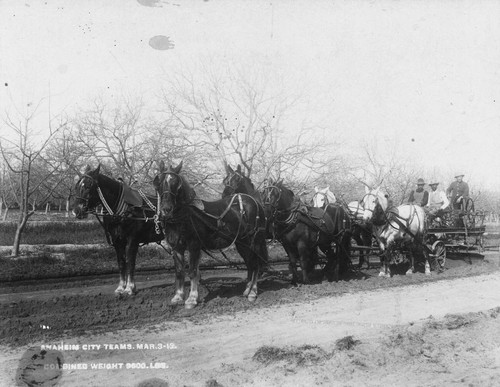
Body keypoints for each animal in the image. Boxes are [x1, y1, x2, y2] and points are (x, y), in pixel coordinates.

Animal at [72, 165, 164, 296]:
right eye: (76, 186)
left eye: (89, 186)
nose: (76, 211)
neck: (123, 211)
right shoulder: (117, 241)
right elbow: (121, 262)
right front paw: (121, 287)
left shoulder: (132, 240)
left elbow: (130, 262)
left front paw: (130, 288)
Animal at [153, 161, 268, 310]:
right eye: (159, 182)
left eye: (176, 184)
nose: (166, 209)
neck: (184, 215)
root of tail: (254, 201)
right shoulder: (176, 247)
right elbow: (179, 272)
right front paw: (178, 297)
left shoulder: (194, 245)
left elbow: (192, 271)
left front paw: (191, 299)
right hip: (242, 243)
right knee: (250, 264)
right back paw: (247, 290)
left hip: (254, 241)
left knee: (256, 264)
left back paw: (253, 292)